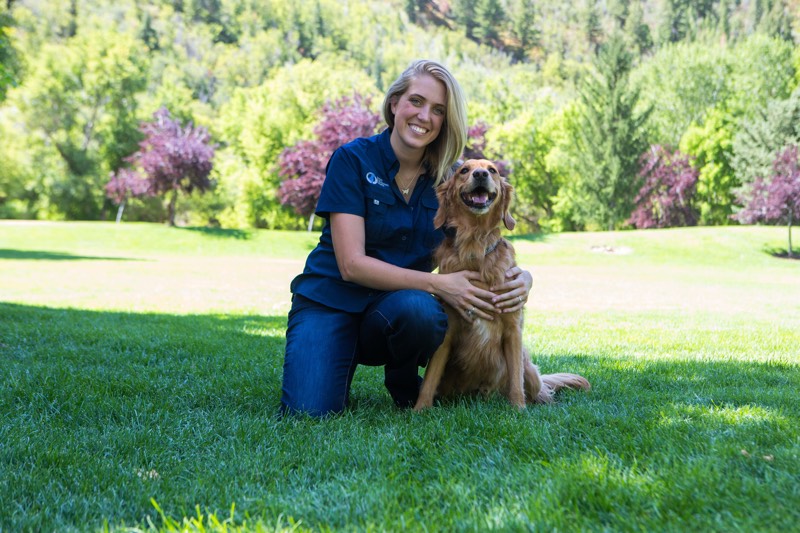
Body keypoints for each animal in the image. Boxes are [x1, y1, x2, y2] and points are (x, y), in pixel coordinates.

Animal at [416, 160, 592, 410]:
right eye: (464, 170)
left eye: (492, 170)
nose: (480, 174)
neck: (476, 248)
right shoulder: (448, 331)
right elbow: (430, 378)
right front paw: (419, 410)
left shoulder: (512, 329)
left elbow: (516, 379)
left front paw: (518, 409)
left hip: (529, 369)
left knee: (539, 389)